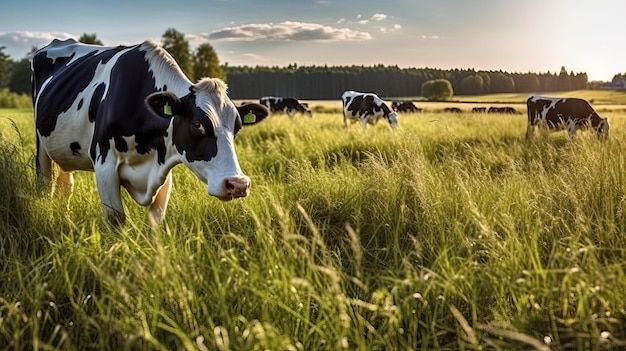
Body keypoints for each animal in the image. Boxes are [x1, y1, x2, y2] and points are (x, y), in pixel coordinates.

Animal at [31, 38, 260, 226]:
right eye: (197, 124)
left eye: (237, 127)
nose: (238, 184)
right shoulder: (104, 164)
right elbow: (116, 221)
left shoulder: (163, 168)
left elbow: (155, 221)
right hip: (41, 146)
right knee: (45, 186)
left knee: (65, 186)